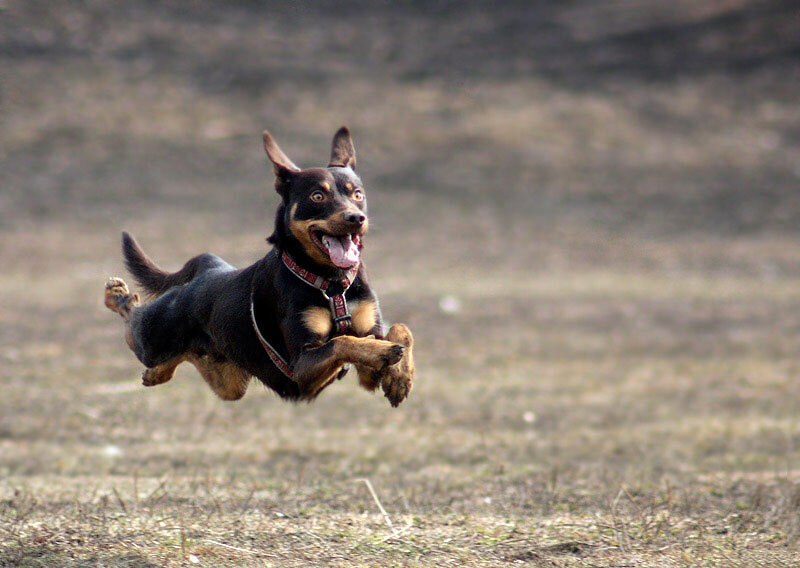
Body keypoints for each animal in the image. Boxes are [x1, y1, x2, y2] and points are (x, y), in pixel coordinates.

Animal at [105, 126, 416, 406]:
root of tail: (210, 269)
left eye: (358, 194)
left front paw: (400, 377)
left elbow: (400, 329)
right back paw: (118, 296)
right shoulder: (301, 367)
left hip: (229, 380)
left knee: (190, 360)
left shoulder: (367, 363)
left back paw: (155, 374)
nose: (356, 218)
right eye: (317, 196)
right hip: (154, 338)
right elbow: (343, 342)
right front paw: (389, 359)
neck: (330, 282)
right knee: (133, 320)